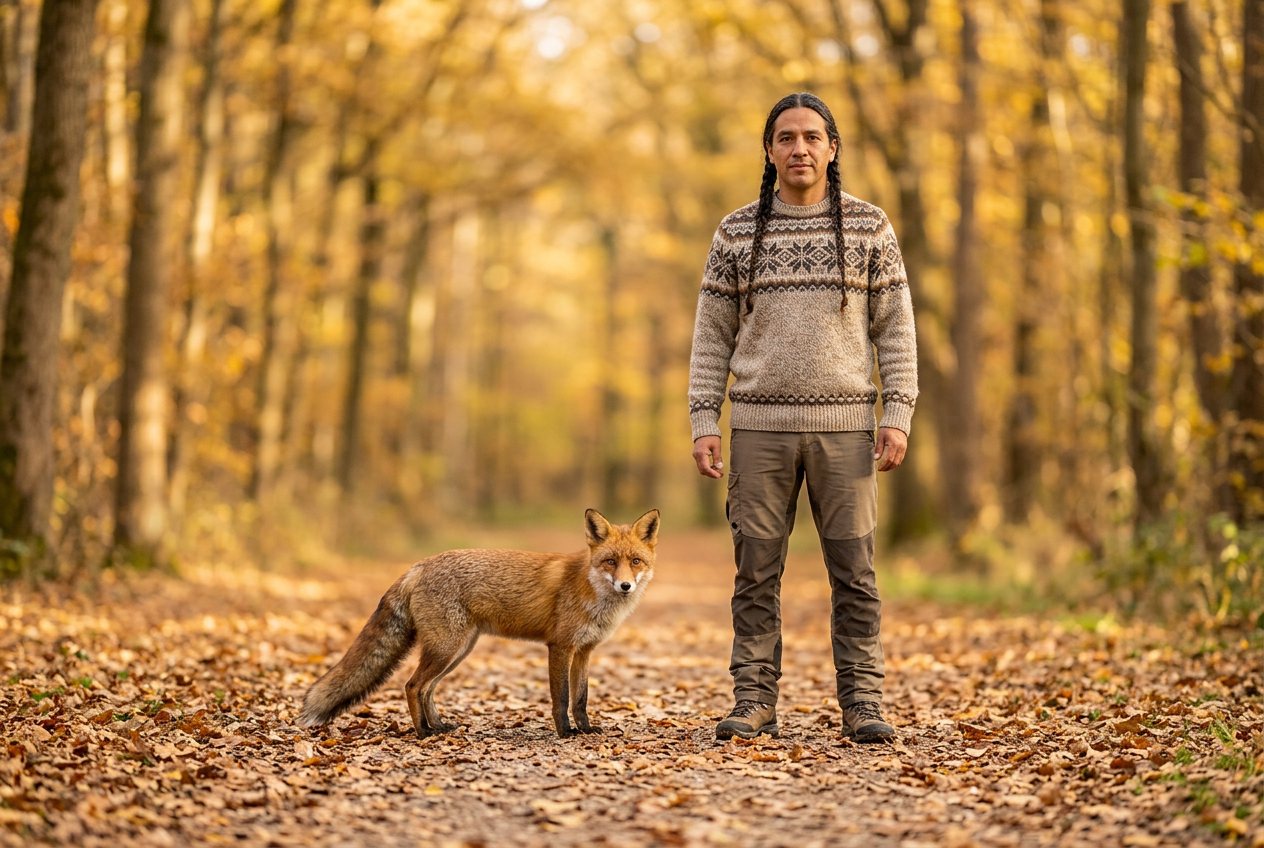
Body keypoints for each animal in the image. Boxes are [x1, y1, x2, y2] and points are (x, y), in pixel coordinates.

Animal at [297, 508, 659, 738]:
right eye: (610, 561)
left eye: (635, 561)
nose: (625, 586)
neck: (592, 591)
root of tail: (420, 564)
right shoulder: (559, 647)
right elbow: (561, 698)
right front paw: (565, 733)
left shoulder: (584, 651)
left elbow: (581, 698)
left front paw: (584, 729)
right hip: (447, 648)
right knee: (412, 685)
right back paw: (422, 733)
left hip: (458, 650)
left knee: (427, 688)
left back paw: (438, 727)